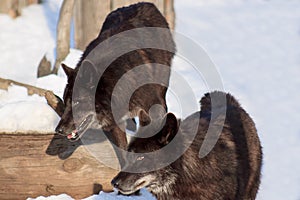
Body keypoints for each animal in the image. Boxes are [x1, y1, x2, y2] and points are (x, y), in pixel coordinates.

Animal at [55, 1, 175, 150]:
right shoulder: (116, 124)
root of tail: (146, 3)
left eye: (77, 102)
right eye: (65, 102)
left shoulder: (153, 111)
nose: (58, 130)